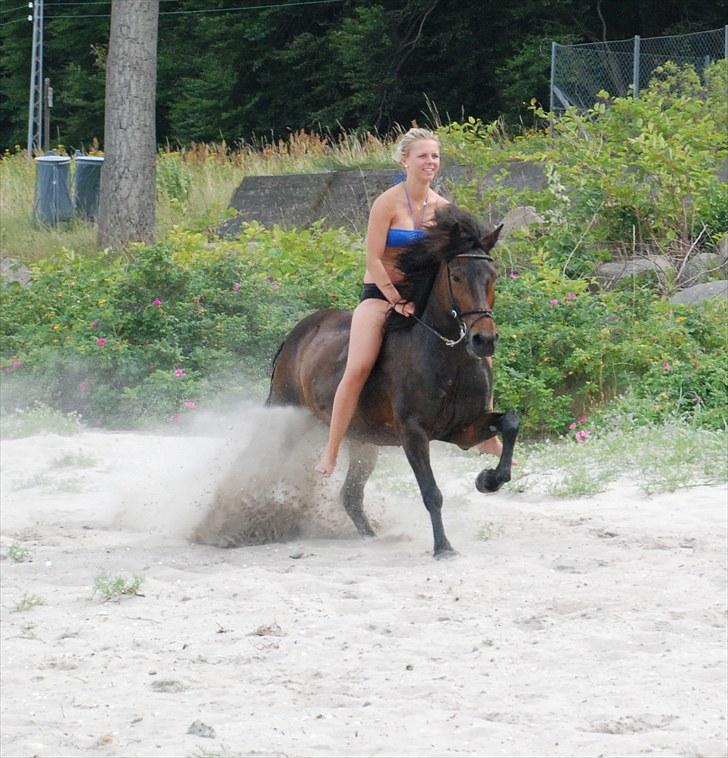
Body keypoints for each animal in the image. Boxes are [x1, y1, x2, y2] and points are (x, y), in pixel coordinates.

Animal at [268, 205, 516, 560]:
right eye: (456, 276)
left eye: (492, 276)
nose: (484, 340)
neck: (447, 356)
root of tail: (295, 335)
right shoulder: (413, 433)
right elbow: (431, 492)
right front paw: (443, 547)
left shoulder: (463, 429)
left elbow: (510, 422)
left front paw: (489, 480)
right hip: (288, 414)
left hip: (363, 441)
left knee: (350, 495)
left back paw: (370, 537)